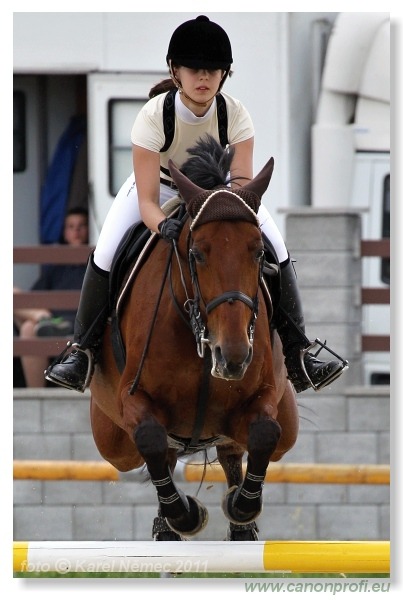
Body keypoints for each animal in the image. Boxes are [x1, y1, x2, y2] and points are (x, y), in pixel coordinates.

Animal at [91, 138, 300, 540]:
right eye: (197, 254)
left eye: (259, 253)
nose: (233, 357)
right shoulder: (133, 400)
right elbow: (150, 438)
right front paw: (186, 514)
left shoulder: (263, 395)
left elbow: (265, 432)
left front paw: (240, 506)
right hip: (112, 441)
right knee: (156, 453)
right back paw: (167, 523)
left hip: (283, 427)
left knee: (236, 450)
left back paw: (240, 525)